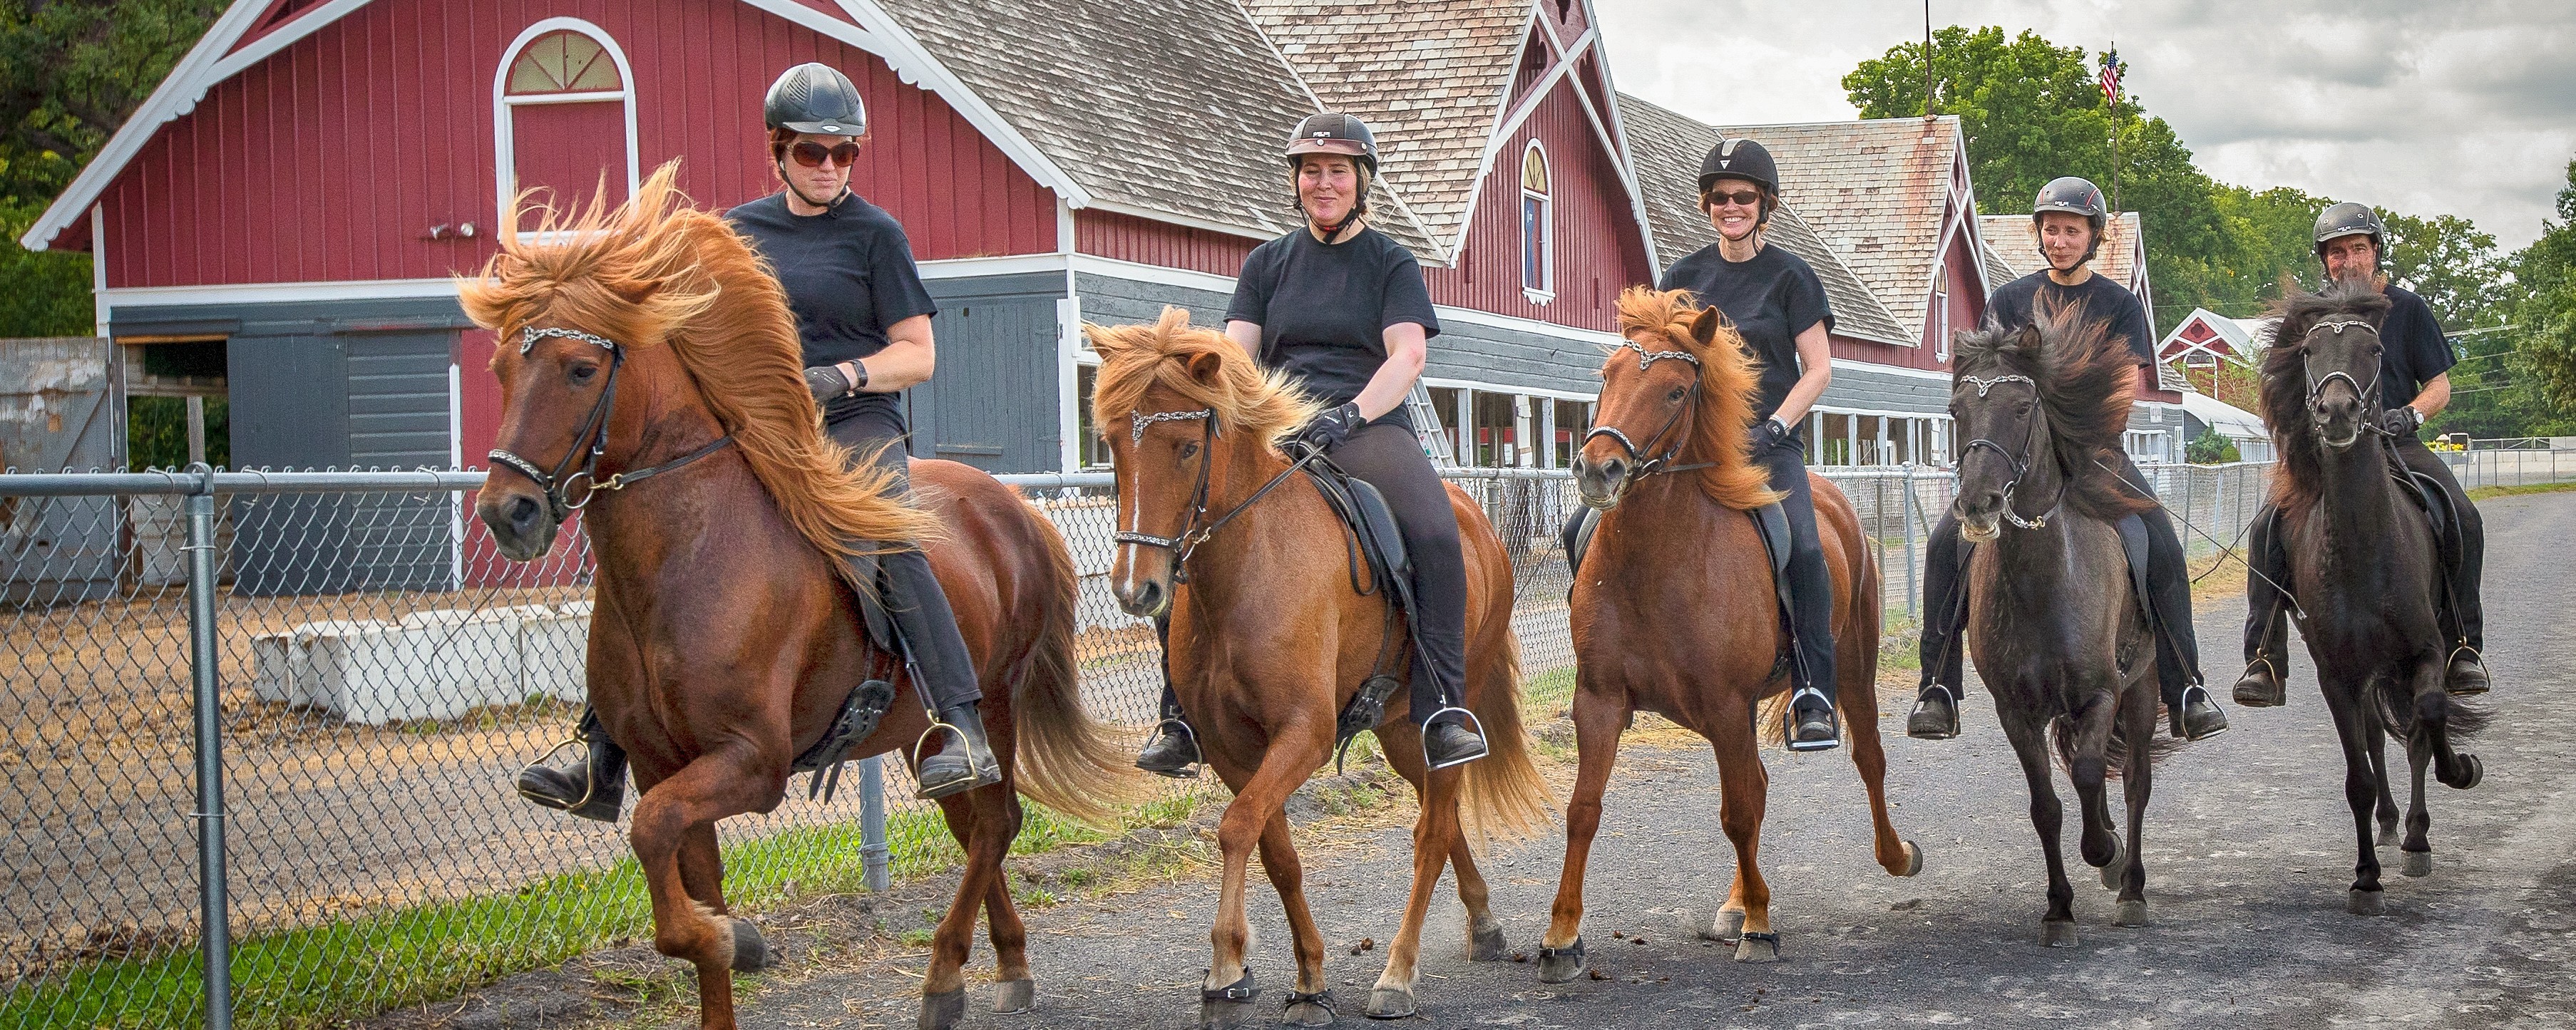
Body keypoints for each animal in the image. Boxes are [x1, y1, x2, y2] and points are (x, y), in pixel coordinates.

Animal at [460, 164, 1134, 1030]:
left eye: (580, 368)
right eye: (503, 371)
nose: (506, 513)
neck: (689, 560)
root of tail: (1014, 508)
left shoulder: (752, 760)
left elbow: (657, 844)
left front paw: (739, 939)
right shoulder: (661, 763)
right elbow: (685, 881)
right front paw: (723, 944)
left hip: (994, 702)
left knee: (995, 824)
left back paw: (943, 975)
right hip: (925, 737)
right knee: (979, 822)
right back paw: (1005, 961)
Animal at [1086, 308, 1555, 1026]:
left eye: (1188, 448)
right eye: (1111, 442)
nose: (1137, 589)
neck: (1247, 567)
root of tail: (1477, 520)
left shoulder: (1302, 732)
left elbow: (1236, 827)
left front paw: (1225, 967)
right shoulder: (1231, 745)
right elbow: (1273, 849)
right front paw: (1307, 978)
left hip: (1449, 709)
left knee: (1431, 831)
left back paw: (1397, 975)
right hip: (1400, 729)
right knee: (1441, 822)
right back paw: (1483, 925)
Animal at [1548, 287, 1917, 974]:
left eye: (1674, 391)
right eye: (1607, 375)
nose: (1597, 470)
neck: (1655, 561)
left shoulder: (1723, 705)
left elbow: (1739, 814)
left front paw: (1761, 928)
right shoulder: (1600, 700)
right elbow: (1583, 809)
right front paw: (1560, 936)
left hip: (1853, 667)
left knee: (1867, 757)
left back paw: (1894, 856)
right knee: (1762, 783)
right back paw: (1736, 900)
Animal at [1948, 313, 2171, 945]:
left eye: (2023, 407)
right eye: (1955, 410)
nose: (1978, 503)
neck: (2041, 582)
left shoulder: (2102, 692)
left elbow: (2094, 773)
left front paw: (2104, 852)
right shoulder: (2016, 711)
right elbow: (2046, 804)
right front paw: (2057, 908)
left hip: (2142, 690)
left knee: (2136, 779)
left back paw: (2131, 886)